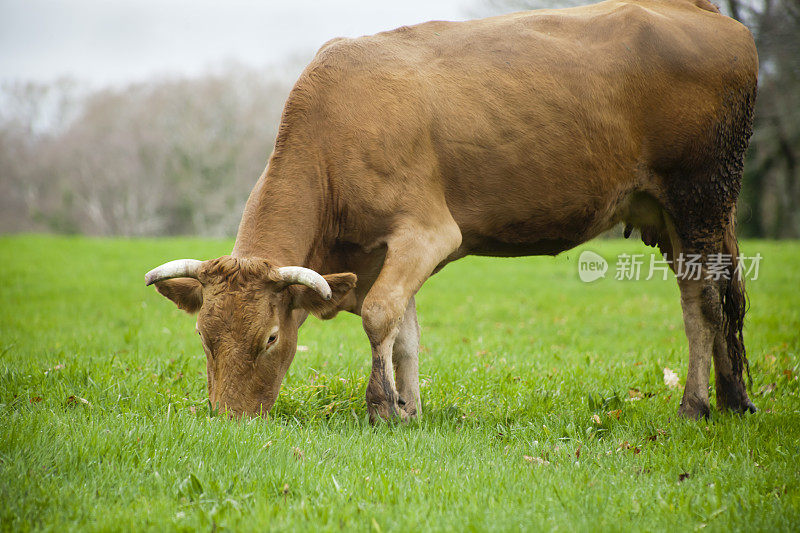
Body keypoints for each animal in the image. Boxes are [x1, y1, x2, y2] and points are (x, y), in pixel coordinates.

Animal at [145, 0, 756, 420]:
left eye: (271, 338)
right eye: (203, 336)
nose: (229, 420)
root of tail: (700, 9)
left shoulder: (429, 232)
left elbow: (380, 315)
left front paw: (382, 407)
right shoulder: (378, 255)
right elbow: (405, 332)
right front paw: (410, 410)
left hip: (701, 199)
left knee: (707, 301)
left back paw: (697, 406)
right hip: (672, 214)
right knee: (703, 296)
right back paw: (731, 399)